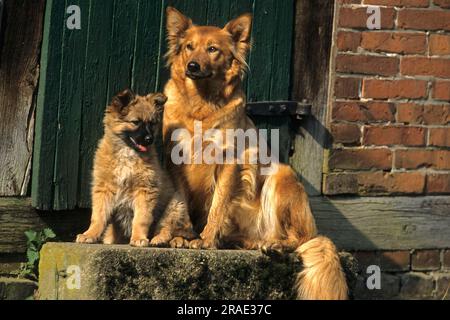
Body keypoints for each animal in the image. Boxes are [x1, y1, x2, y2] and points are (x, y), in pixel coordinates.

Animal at [76, 89, 196, 248]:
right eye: (136, 122)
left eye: (152, 123)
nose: (150, 139)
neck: (128, 152)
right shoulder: (104, 190)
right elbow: (98, 216)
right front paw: (90, 234)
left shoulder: (145, 190)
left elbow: (141, 219)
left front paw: (139, 237)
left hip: (175, 204)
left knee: (168, 228)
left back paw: (161, 240)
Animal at [163, 6, 348, 298]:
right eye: (189, 47)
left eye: (213, 49)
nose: (192, 65)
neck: (200, 104)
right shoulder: (175, 161)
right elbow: (183, 202)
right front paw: (184, 236)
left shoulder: (228, 163)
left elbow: (218, 205)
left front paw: (206, 239)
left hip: (281, 176)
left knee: (299, 237)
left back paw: (275, 245)